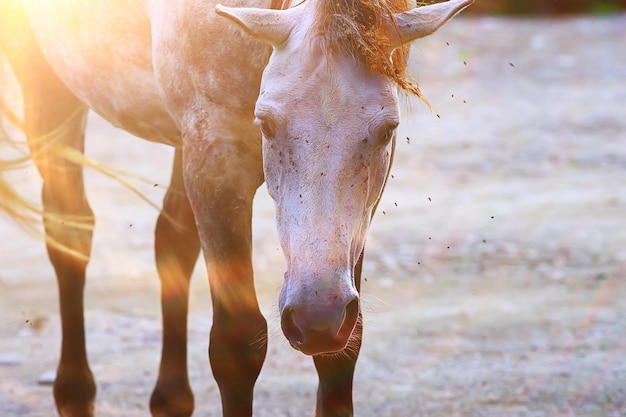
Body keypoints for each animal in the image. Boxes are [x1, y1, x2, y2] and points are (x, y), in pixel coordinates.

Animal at [0, 0, 468, 416]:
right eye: (268, 124)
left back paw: (170, 402)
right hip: (48, 90)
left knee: (171, 242)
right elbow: (237, 344)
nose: (316, 316)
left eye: (388, 129)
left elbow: (340, 352)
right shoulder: (215, 161)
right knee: (69, 234)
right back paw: (75, 395)